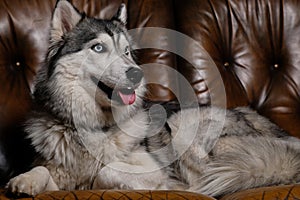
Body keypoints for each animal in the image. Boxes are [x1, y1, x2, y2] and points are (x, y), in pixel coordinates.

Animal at [6, 0, 300, 197]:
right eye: (98, 48)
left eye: (126, 51)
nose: (137, 74)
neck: (92, 127)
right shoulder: (58, 174)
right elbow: (43, 172)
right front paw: (25, 181)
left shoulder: (152, 169)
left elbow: (105, 171)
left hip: (185, 124)